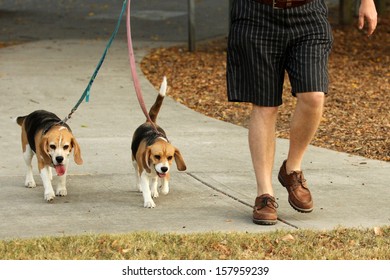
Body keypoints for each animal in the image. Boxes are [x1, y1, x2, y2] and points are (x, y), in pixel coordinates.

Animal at [131, 77, 186, 208]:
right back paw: (140, 187)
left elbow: (163, 183)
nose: (164, 169)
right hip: (134, 162)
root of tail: (149, 122)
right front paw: (148, 201)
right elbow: (145, 187)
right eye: (156, 156)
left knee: (155, 179)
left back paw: (155, 190)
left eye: (170, 157)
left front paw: (161, 188)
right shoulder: (144, 173)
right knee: (137, 174)